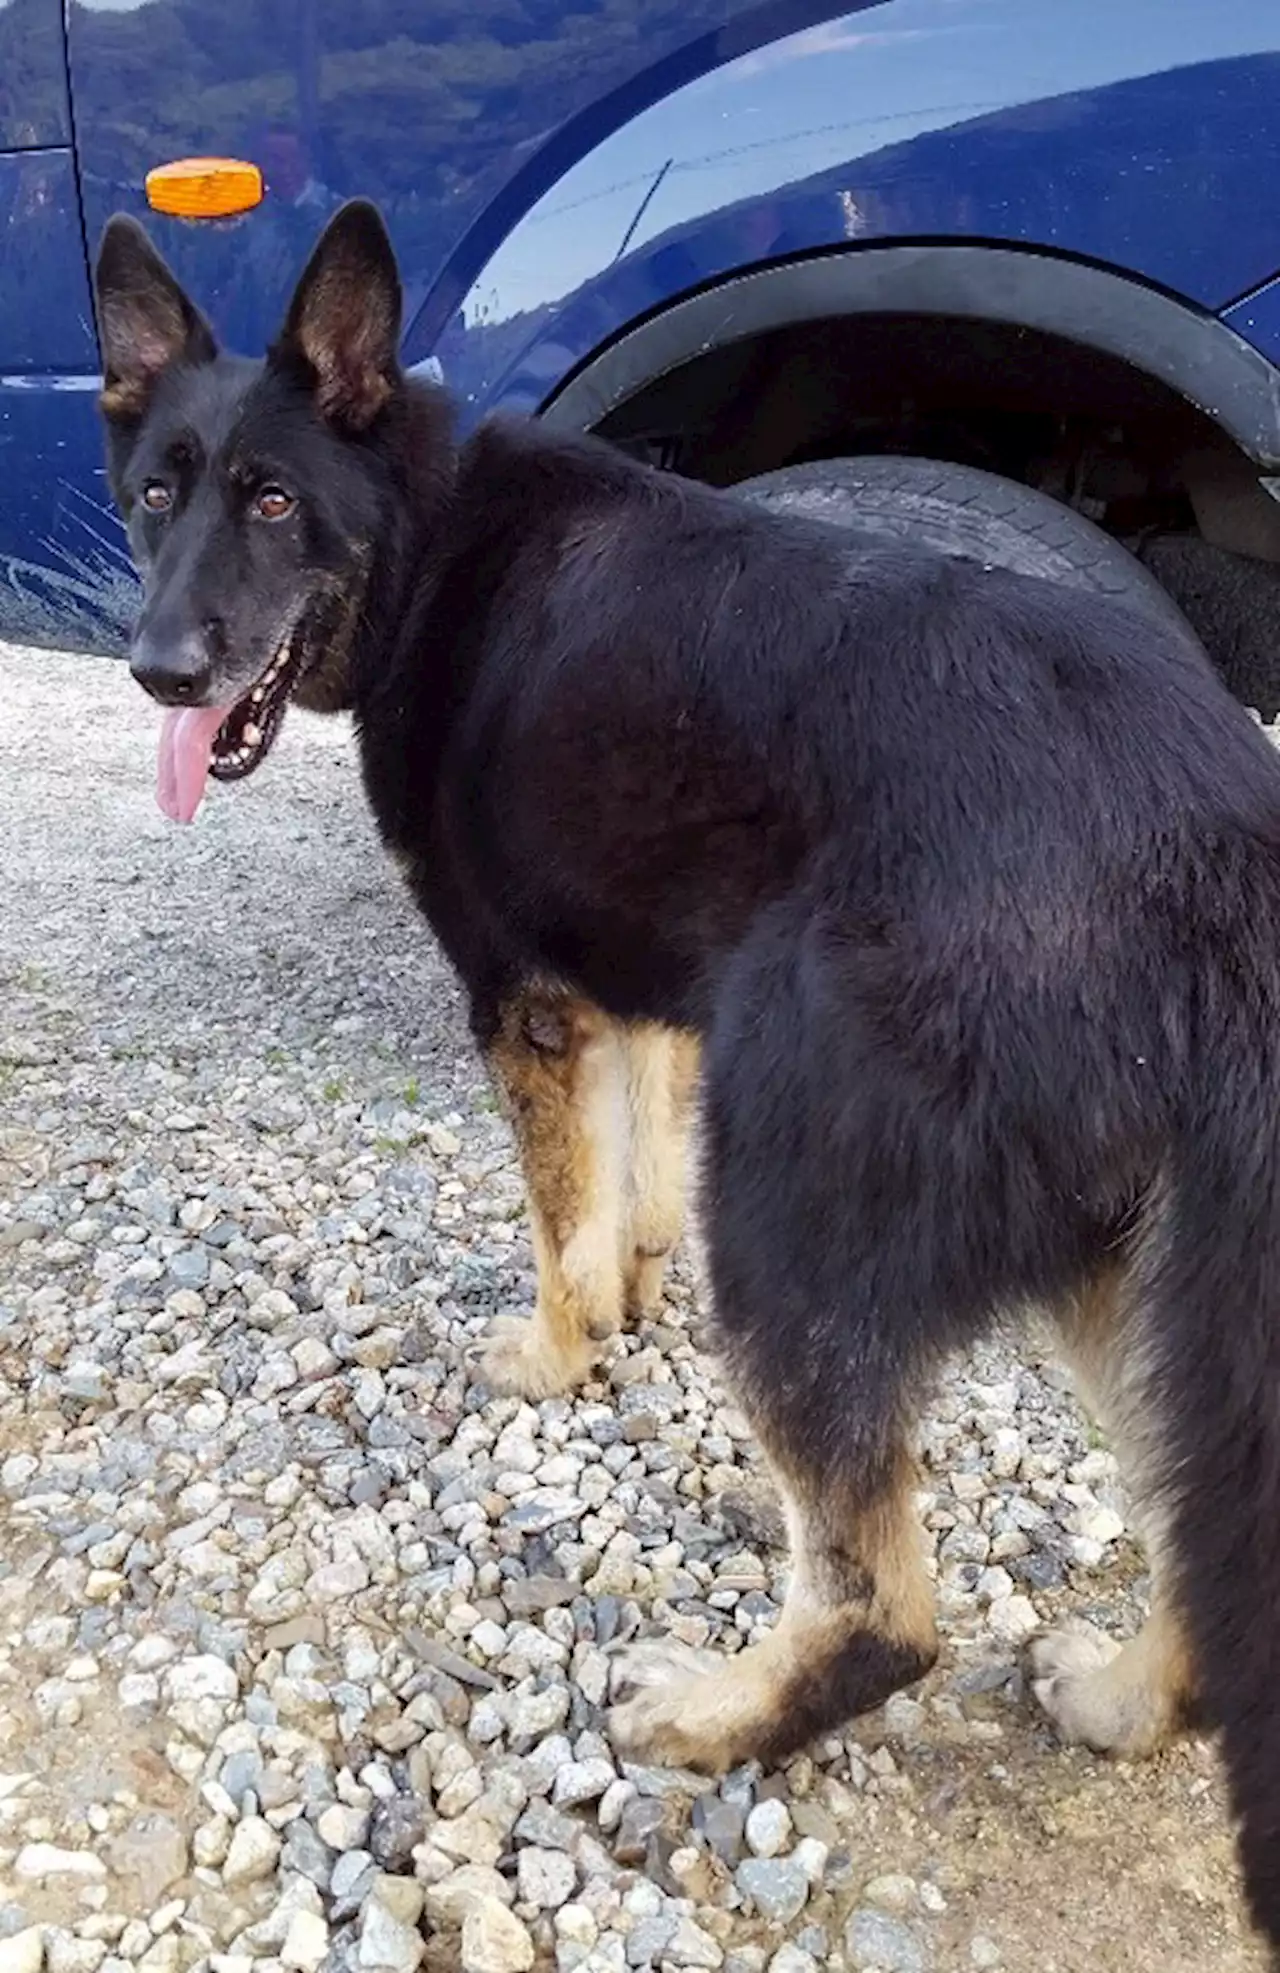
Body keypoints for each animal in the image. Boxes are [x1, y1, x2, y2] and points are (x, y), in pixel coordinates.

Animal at [94, 200, 1278, 1957]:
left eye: (275, 500)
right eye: (159, 494)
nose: (161, 670)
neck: (431, 535)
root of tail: (1212, 841)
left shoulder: (525, 998)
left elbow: (557, 1209)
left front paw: (558, 1346)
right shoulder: (643, 990)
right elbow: (630, 1168)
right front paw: (627, 1293)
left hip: (796, 1216)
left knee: (884, 1603)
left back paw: (711, 1718)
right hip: (1124, 1278)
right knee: (1200, 1541)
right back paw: (1122, 1699)